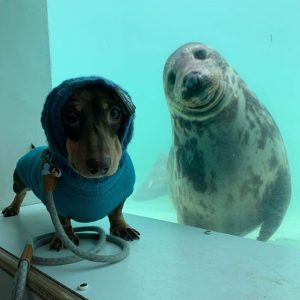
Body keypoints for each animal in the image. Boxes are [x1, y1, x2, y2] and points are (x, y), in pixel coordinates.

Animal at [1, 76, 139, 250]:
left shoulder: (122, 195)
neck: (93, 184)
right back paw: (12, 207)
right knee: (20, 192)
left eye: (115, 113)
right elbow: (62, 220)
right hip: (18, 182)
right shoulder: (55, 204)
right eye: (71, 116)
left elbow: (117, 211)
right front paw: (64, 237)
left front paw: (121, 227)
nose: (100, 166)